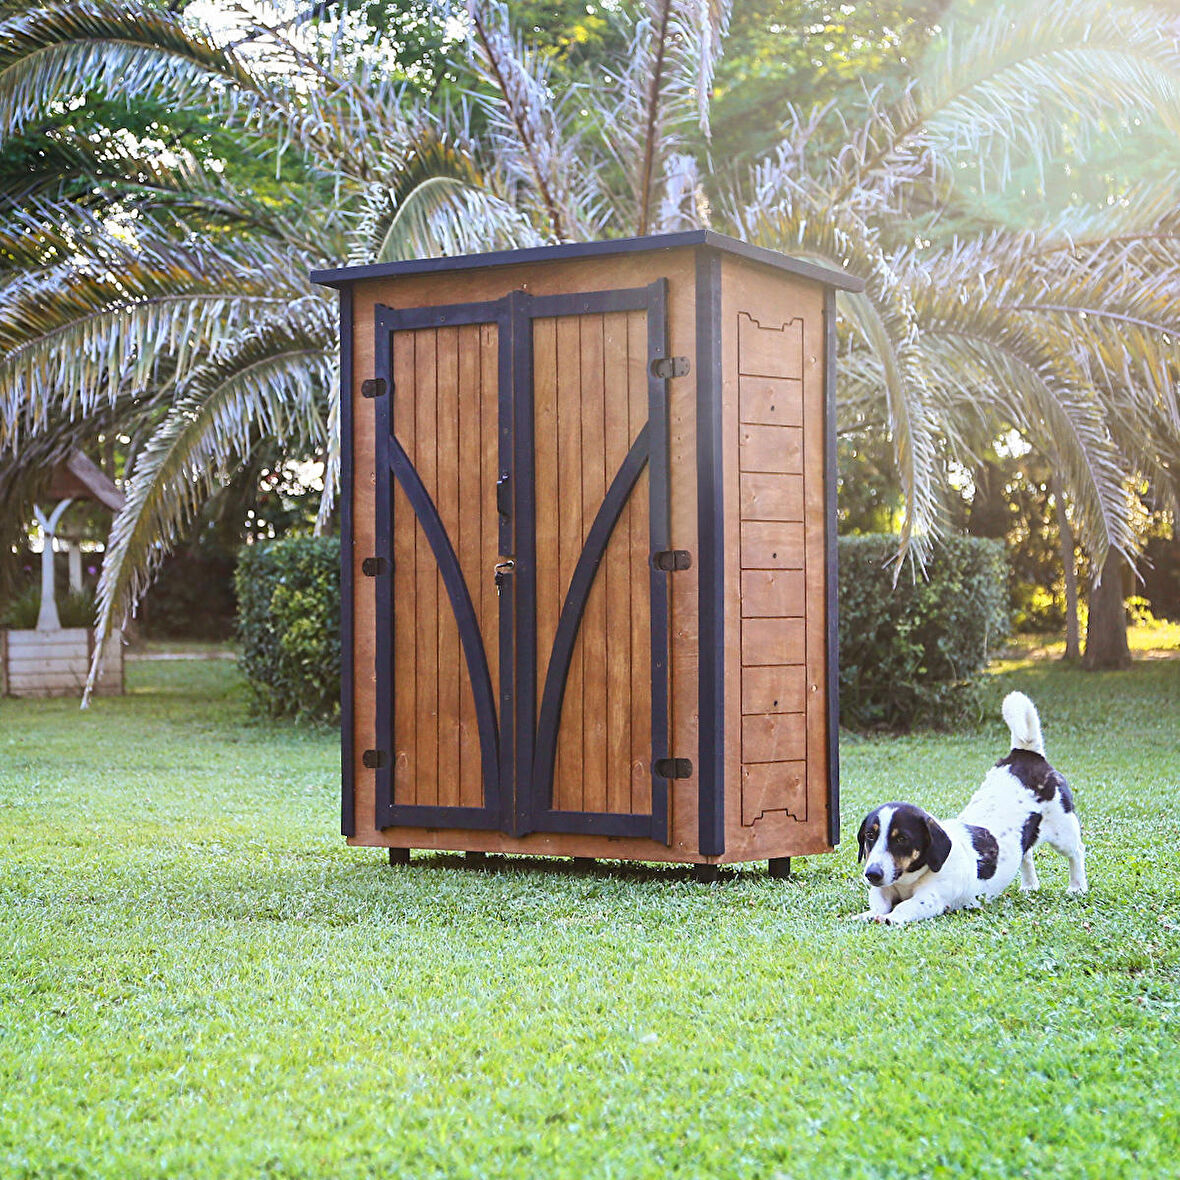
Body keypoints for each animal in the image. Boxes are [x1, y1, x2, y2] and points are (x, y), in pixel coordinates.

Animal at [849, 689, 1085, 925]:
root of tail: (1027, 754)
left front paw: (889, 918)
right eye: (870, 835)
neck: (908, 880)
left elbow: (905, 907)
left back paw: (1077, 888)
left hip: (1063, 832)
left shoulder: (931, 899)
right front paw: (867, 915)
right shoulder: (883, 889)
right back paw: (1029, 886)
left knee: (1077, 851)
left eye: (902, 839)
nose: (872, 874)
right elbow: (879, 901)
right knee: (1026, 854)